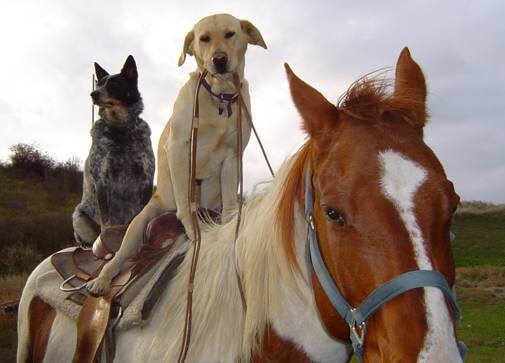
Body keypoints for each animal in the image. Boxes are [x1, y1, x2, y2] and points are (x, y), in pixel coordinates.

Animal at [73, 55, 155, 249]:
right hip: (78, 217)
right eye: (99, 83)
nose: (93, 94)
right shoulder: (102, 179)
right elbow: (106, 221)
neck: (121, 127)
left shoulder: (146, 176)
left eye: (115, 83)